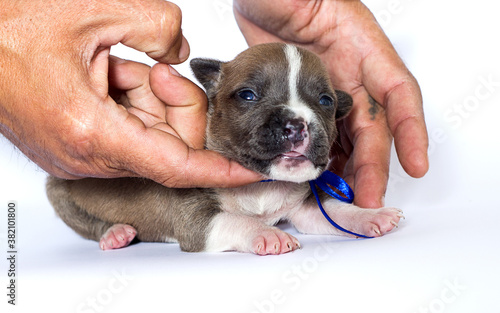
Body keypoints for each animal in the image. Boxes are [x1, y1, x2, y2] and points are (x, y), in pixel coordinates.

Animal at [45, 42, 400, 255]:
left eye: (326, 101)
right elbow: (235, 221)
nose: (297, 125)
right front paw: (268, 234)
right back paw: (115, 234)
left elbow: (333, 211)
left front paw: (370, 215)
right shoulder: (195, 220)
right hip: (61, 192)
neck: (262, 186)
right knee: (84, 224)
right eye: (247, 95)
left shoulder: (301, 206)